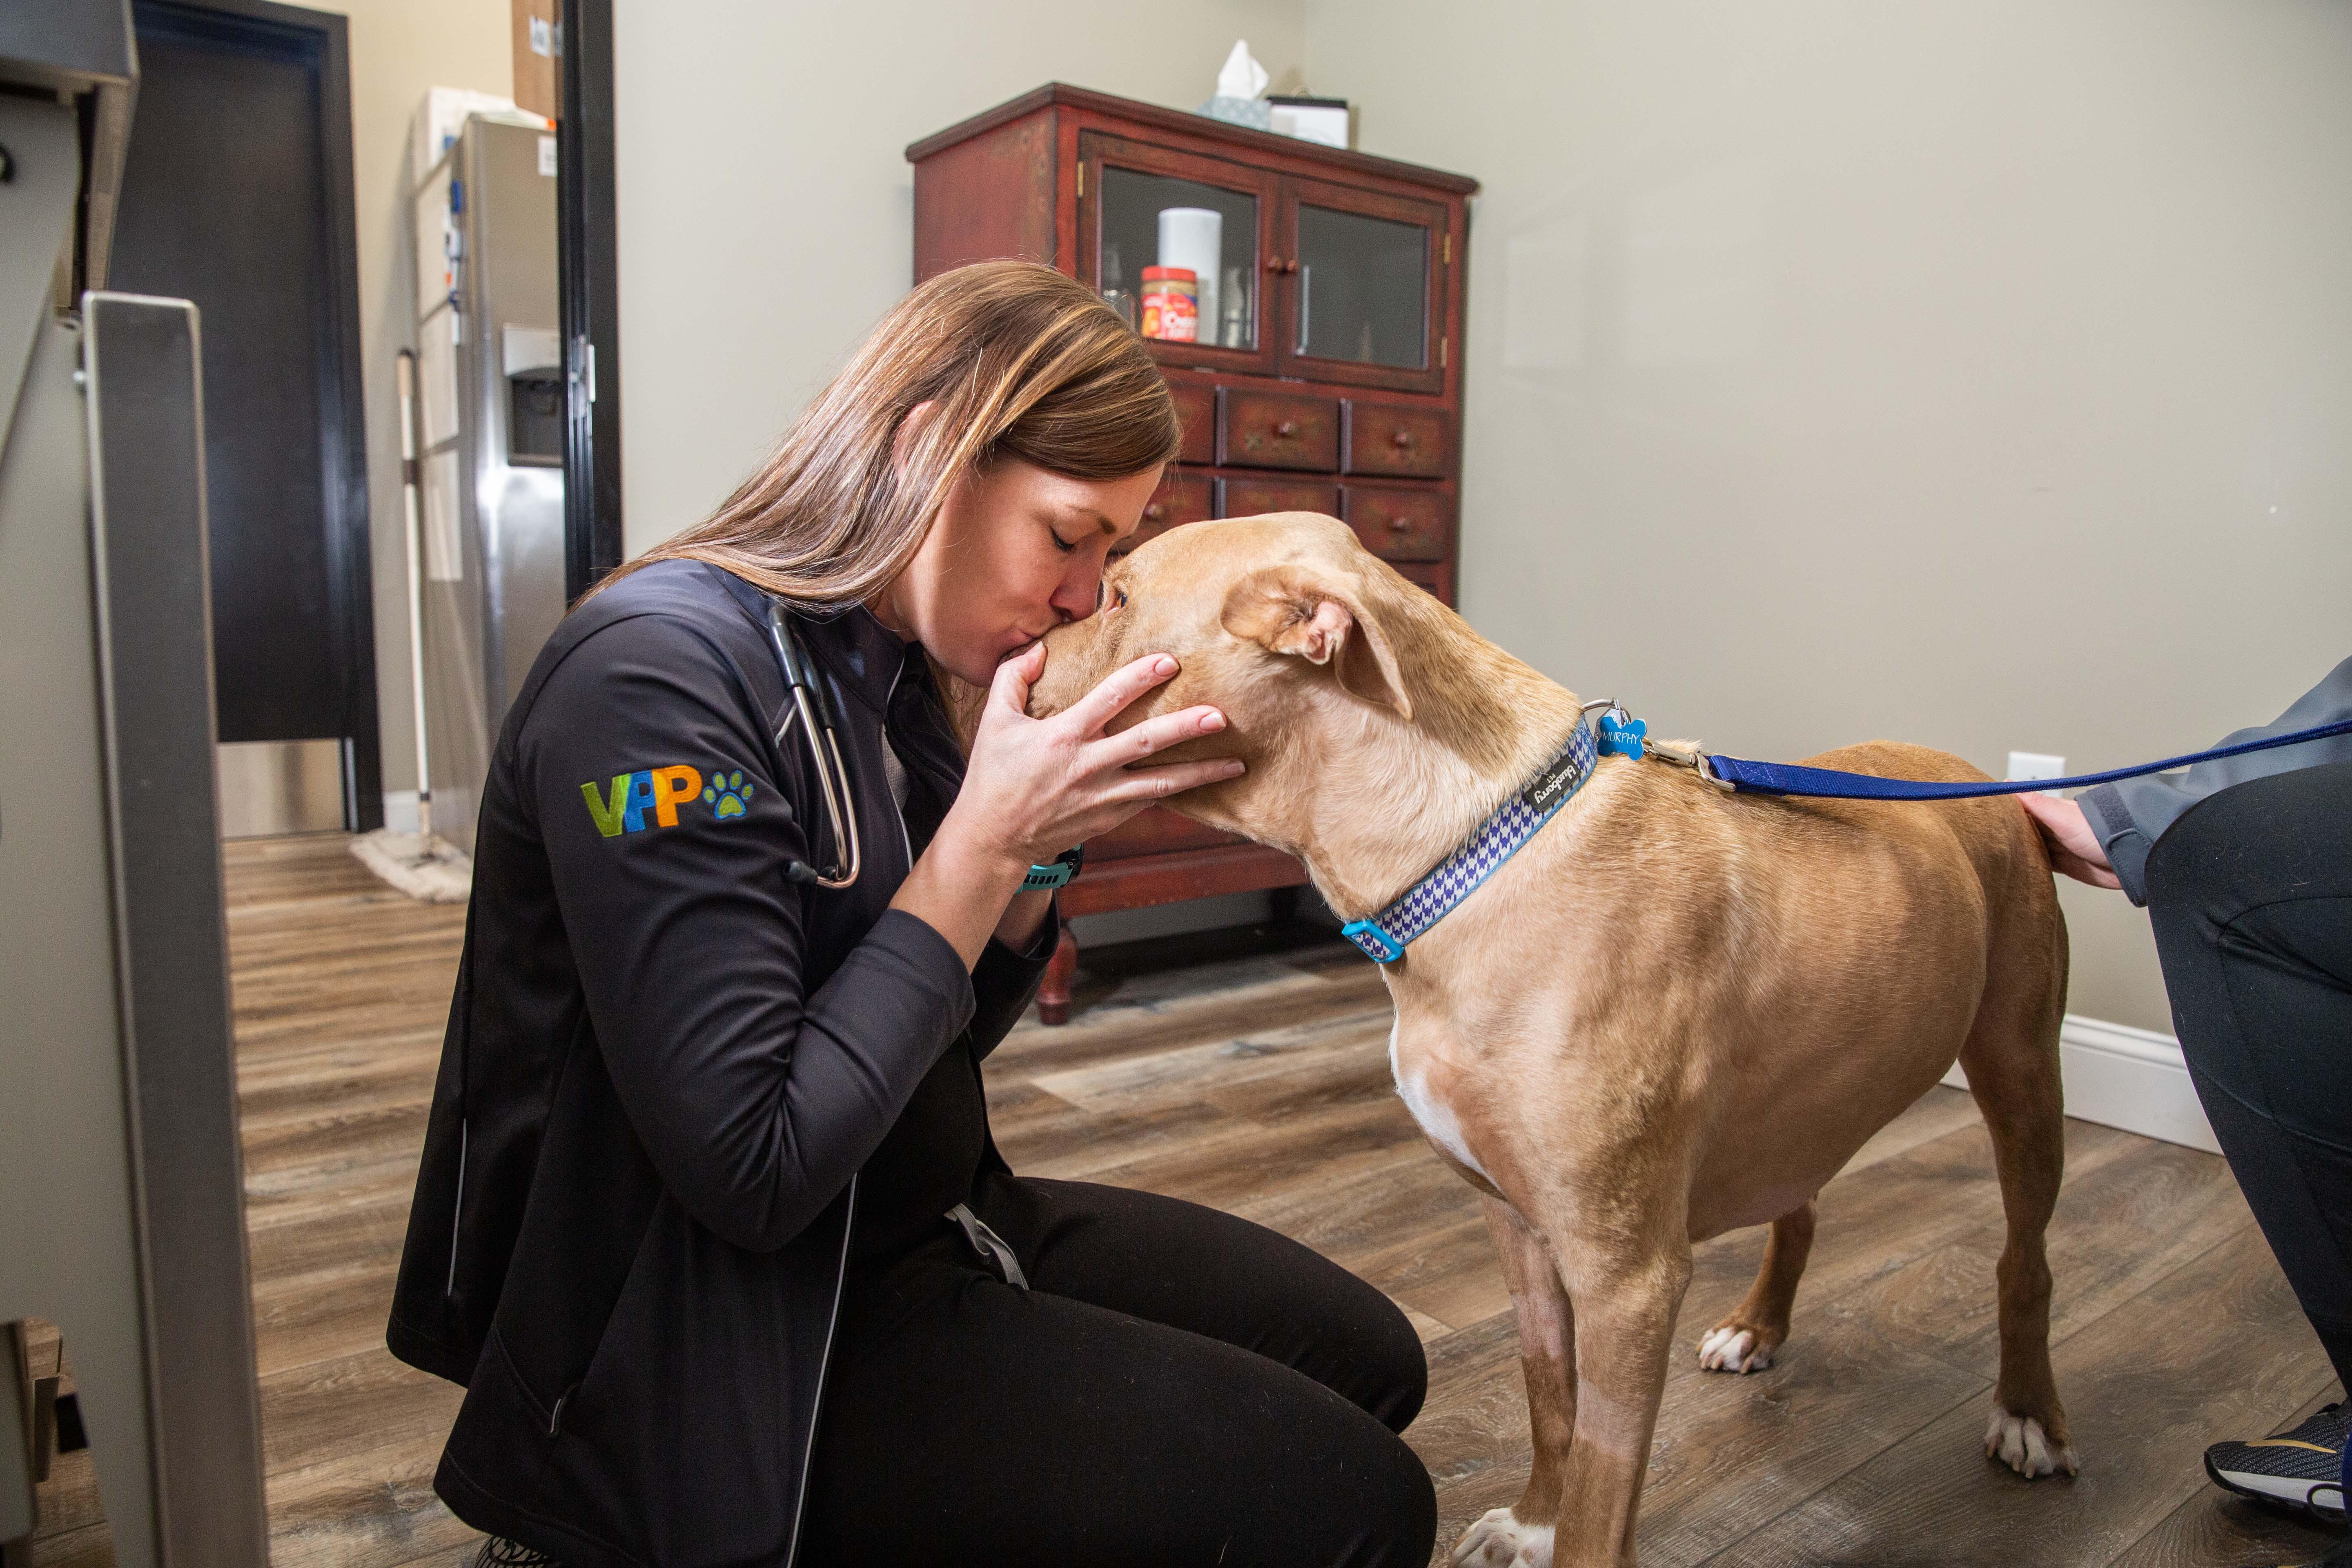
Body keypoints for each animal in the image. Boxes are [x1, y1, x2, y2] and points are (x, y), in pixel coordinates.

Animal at [1030, 514, 2079, 1568]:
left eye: (1116, 596)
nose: (1018, 661)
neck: (1471, 855)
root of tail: (1985, 779)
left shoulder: (1626, 1282)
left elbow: (1601, 1490)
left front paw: (1562, 1528)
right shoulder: (1516, 1227)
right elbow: (1547, 1399)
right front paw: (1532, 1519)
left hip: (2022, 1076)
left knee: (2023, 1261)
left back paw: (2028, 1414)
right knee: (1802, 1206)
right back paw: (1757, 1326)